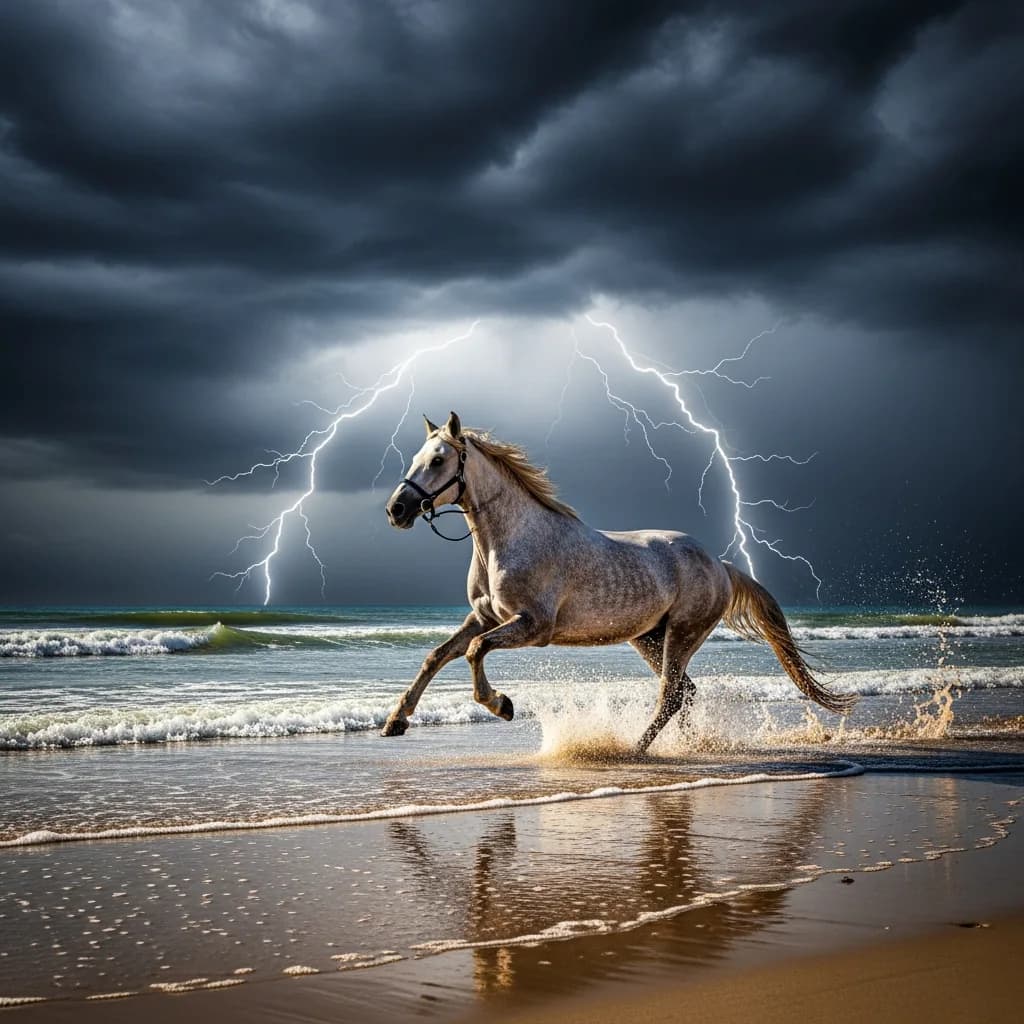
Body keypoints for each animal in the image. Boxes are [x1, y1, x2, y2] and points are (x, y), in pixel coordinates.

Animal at [382, 411, 856, 753]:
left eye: (438, 460)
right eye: (415, 459)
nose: (396, 510)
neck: (512, 539)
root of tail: (720, 564)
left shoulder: (533, 626)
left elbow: (475, 652)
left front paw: (502, 705)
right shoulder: (483, 618)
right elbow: (437, 656)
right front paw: (396, 721)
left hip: (681, 634)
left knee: (670, 694)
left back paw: (635, 749)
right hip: (648, 638)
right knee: (685, 691)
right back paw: (690, 745)